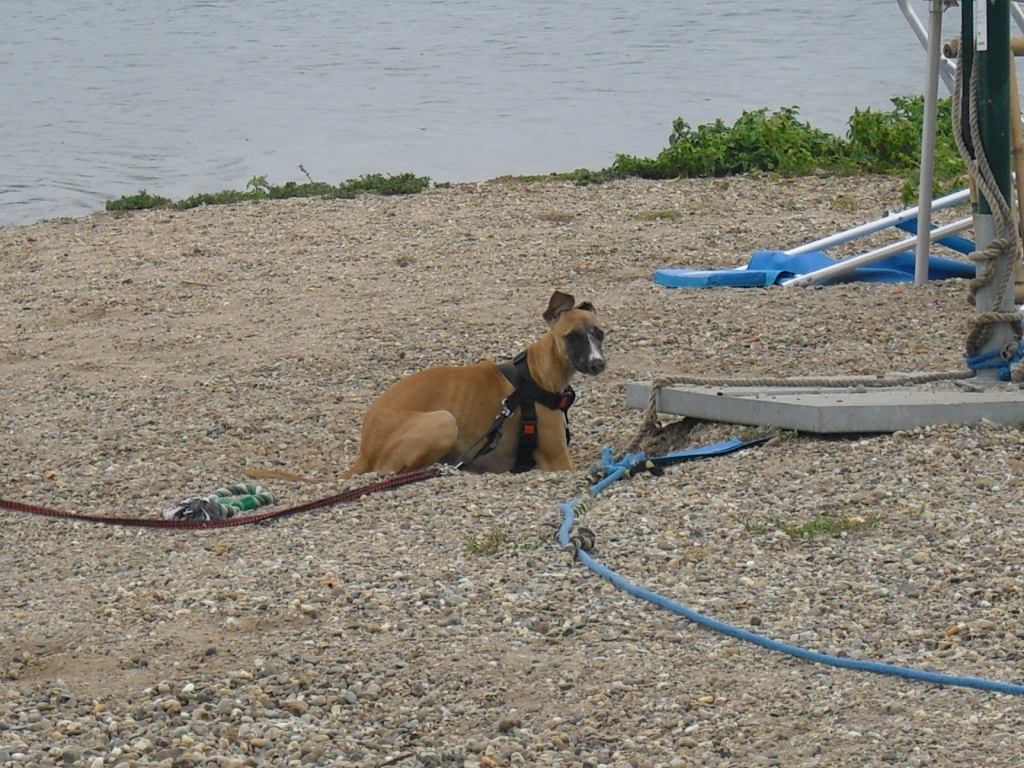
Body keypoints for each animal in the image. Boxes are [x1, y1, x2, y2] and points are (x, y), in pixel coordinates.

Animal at [339, 292, 602, 479]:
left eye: (600, 333)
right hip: (443, 420)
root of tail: (365, 450)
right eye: (572, 336)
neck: (536, 375)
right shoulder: (559, 461)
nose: (598, 364)